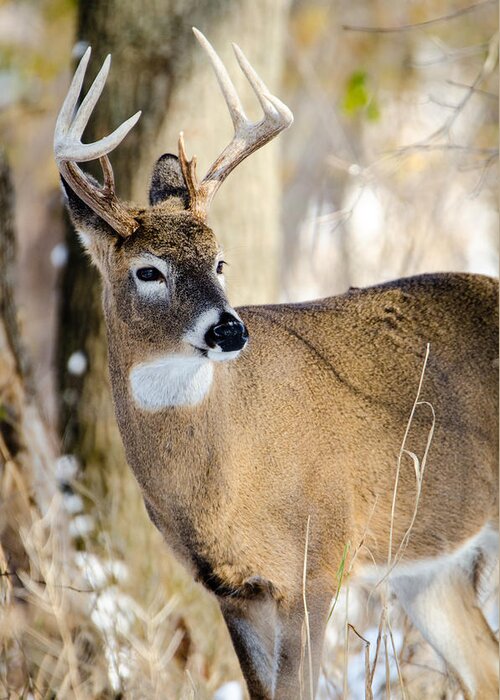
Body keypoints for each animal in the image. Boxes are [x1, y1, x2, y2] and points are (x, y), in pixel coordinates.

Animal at [54, 27, 496, 700]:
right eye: (148, 271)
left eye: (220, 261)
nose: (229, 328)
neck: (224, 483)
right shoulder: (232, 590)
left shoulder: (320, 559)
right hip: (432, 566)